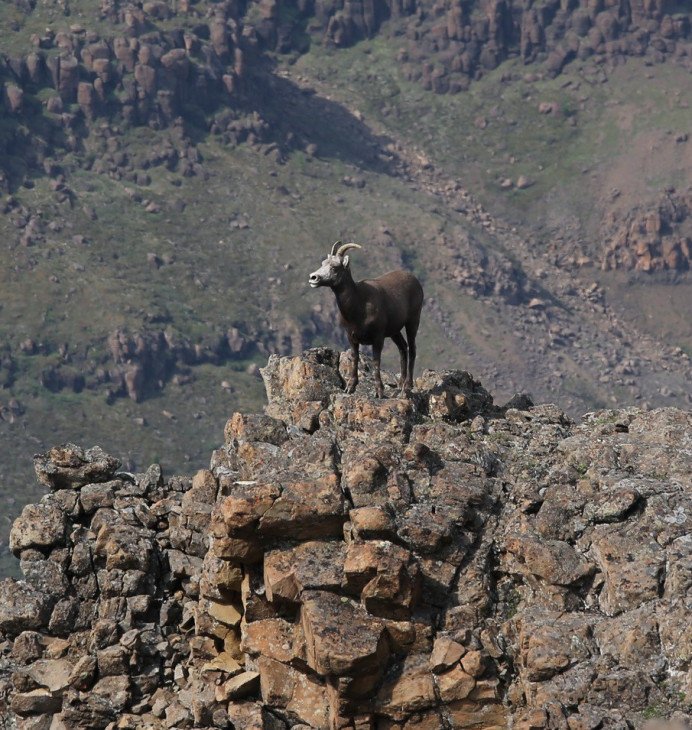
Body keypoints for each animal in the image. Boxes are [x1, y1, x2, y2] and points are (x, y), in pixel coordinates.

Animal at [310, 242, 424, 396]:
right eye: (323, 263)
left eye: (334, 267)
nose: (313, 278)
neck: (359, 304)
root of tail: (415, 280)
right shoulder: (351, 337)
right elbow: (355, 358)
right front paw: (350, 387)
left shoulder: (378, 337)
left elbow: (376, 362)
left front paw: (379, 391)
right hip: (395, 332)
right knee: (402, 348)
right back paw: (400, 385)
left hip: (412, 322)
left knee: (412, 349)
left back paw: (407, 385)